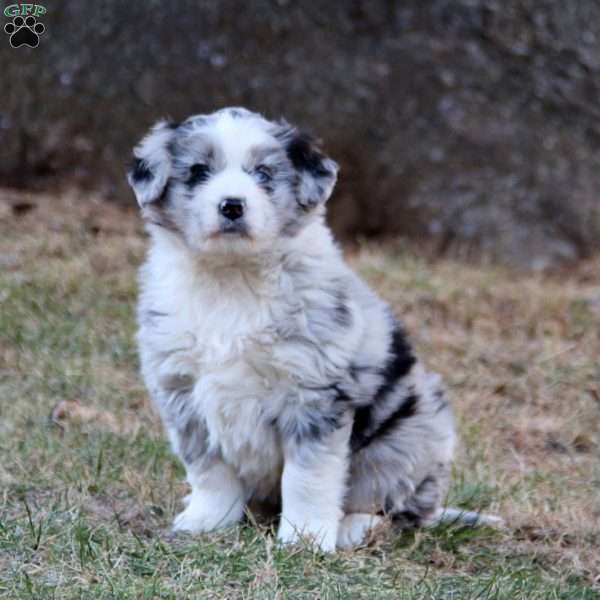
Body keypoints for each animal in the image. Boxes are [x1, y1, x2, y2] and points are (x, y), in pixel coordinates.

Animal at [126, 106, 496, 548]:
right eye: (199, 171)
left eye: (263, 174)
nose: (232, 206)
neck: (232, 278)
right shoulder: (182, 391)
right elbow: (210, 470)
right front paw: (206, 521)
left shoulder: (314, 395)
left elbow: (308, 478)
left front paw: (304, 540)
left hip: (409, 441)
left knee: (396, 510)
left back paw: (354, 528)